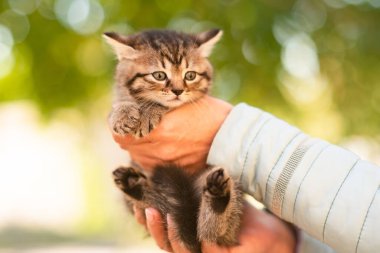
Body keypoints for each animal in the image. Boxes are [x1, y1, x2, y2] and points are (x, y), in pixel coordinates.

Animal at [103, 30, 243, 253]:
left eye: (190, 75)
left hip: (223, 181)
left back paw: (218, 199)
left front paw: (150, 112)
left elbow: (164, 105)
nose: (178, 91)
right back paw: (134, 185)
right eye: (159, 75)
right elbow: (118, 104)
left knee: (214, 232)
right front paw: (122, 113)